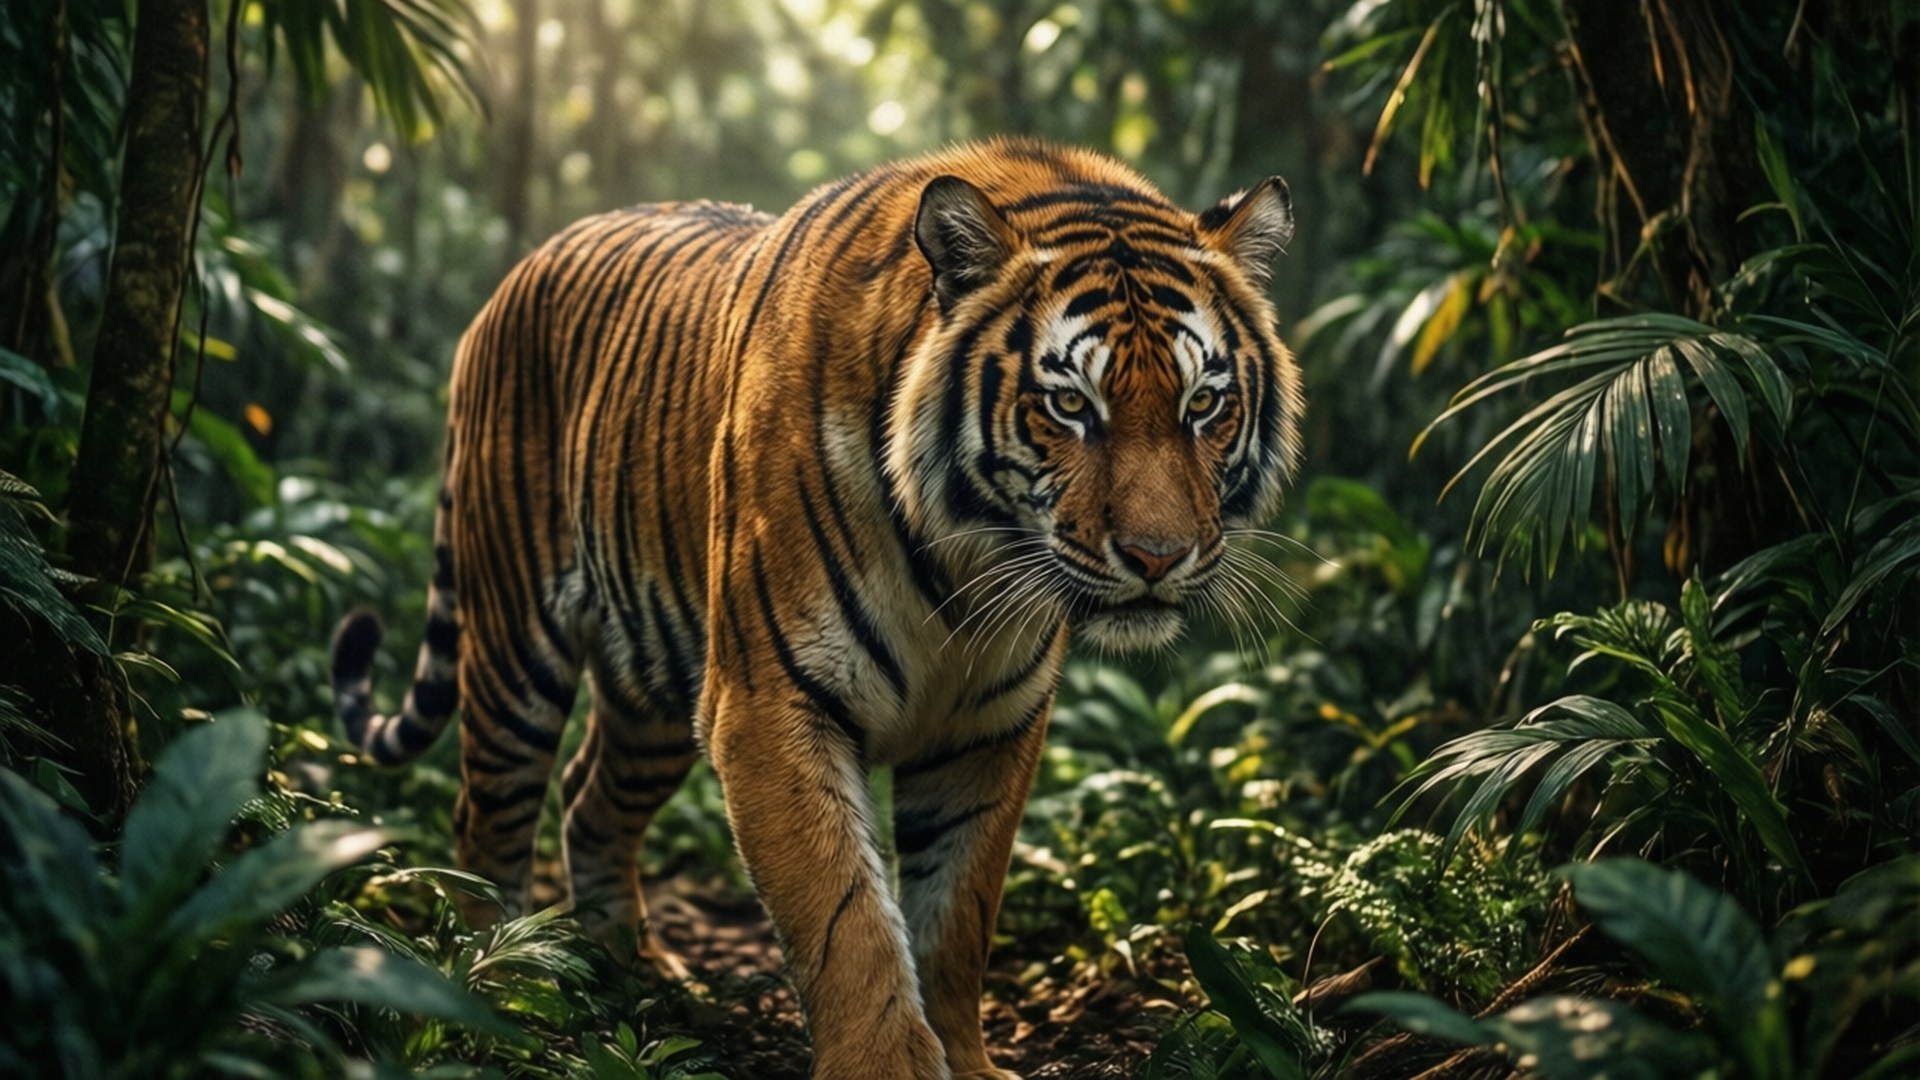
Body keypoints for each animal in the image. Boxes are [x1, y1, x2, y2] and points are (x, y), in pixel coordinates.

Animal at [328, 138, 1302, 1079]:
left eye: (1203, 404)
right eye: (1069, 405)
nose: (1157, 557)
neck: (966, 564)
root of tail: (521, 268)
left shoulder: (988, 730)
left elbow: (957, 916)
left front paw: (967, 1061)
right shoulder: (771, 704)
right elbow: (847, 917)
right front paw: (889, 1066)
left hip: (655, 693)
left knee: (587, 801)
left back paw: (624, 972)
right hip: (514, 648)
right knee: (488, 818)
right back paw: (495, 986)